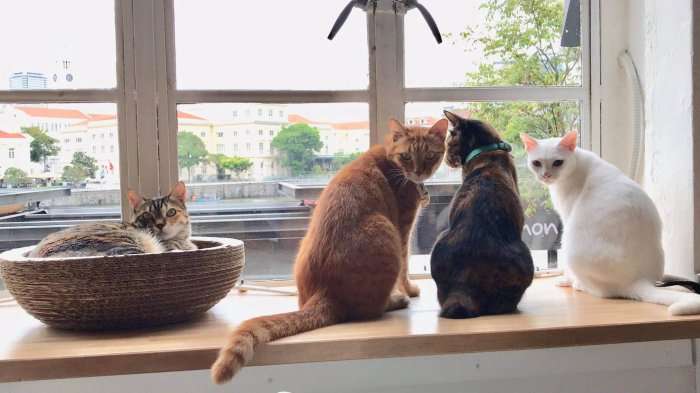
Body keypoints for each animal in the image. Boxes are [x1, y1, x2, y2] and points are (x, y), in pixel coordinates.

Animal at [211, 116, 448, 382]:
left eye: (429, 155)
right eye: (406, 156)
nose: (419, 172)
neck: (390, 160)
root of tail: (325, 290)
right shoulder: (404, 230)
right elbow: (405, 268)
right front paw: (410, 289)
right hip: (386, 232)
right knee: (369, 309)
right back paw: (396, 299)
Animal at [520, 132, 700, 316]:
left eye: (558, 162)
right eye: (537, 163)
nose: (546, 175)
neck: (577, 162)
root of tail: (638, 279)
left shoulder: (567, 215)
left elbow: (569, 272)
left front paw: (566, 279)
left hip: (570, 243)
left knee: (603, 293)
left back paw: (579, 285)